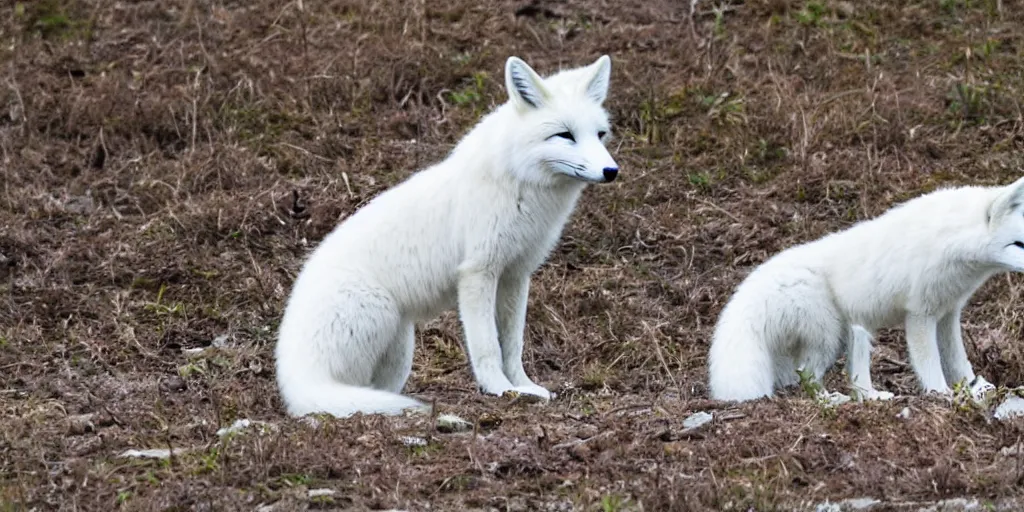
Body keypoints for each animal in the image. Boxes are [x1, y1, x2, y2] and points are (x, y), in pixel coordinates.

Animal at [274, 55, 622, 415]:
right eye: (564, 135)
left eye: (600, 134)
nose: (611, 171)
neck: (521, 186)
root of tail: (293, 376)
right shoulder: (478, 273)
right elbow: (487, 346)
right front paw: (500, 390)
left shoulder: (516, 274)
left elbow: (513, 344)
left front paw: (524, 387)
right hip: (379, 316)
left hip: (401, 347)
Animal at [708, 178, 1024, 401]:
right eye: (1017, 244)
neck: (951, 241)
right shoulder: (919, 315)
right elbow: (929, 365)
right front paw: (942, 396)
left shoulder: (948, 312)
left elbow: (958, 360)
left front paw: (974, 387)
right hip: (828, 336)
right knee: (807, 376)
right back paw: (835, 400)